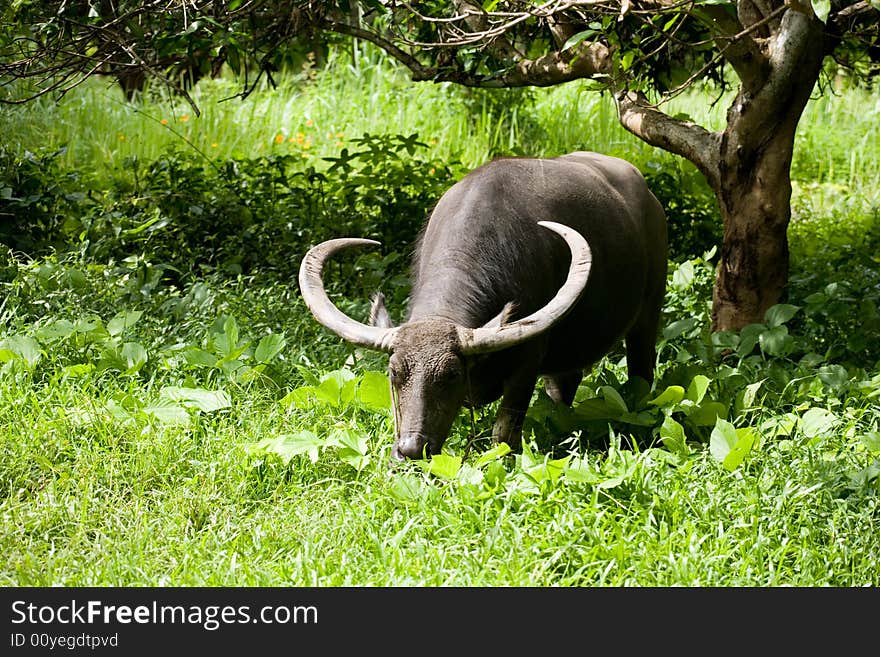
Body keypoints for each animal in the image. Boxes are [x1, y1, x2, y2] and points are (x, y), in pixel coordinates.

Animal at [298, 151, 668, 458]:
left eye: (450, 375)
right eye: (394, 372)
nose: (411, 448)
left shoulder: (527, 363)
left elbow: (503, 432)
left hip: (648, 315)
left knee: (641, 370)